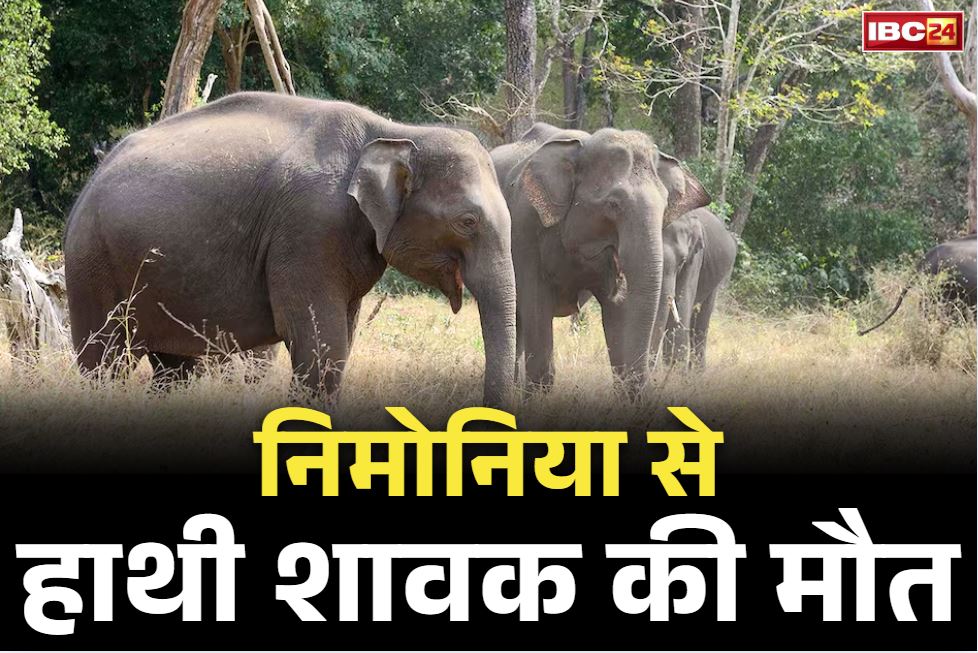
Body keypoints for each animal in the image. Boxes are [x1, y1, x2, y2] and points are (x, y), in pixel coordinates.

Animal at [63, 92, 516, 406]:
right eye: (468, 222)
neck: (394, 131)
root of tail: (93, 176)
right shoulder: (309, 229)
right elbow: (319, 344)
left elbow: (339, 342)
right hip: (93, 264)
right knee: (105, 361)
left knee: (174, 370)